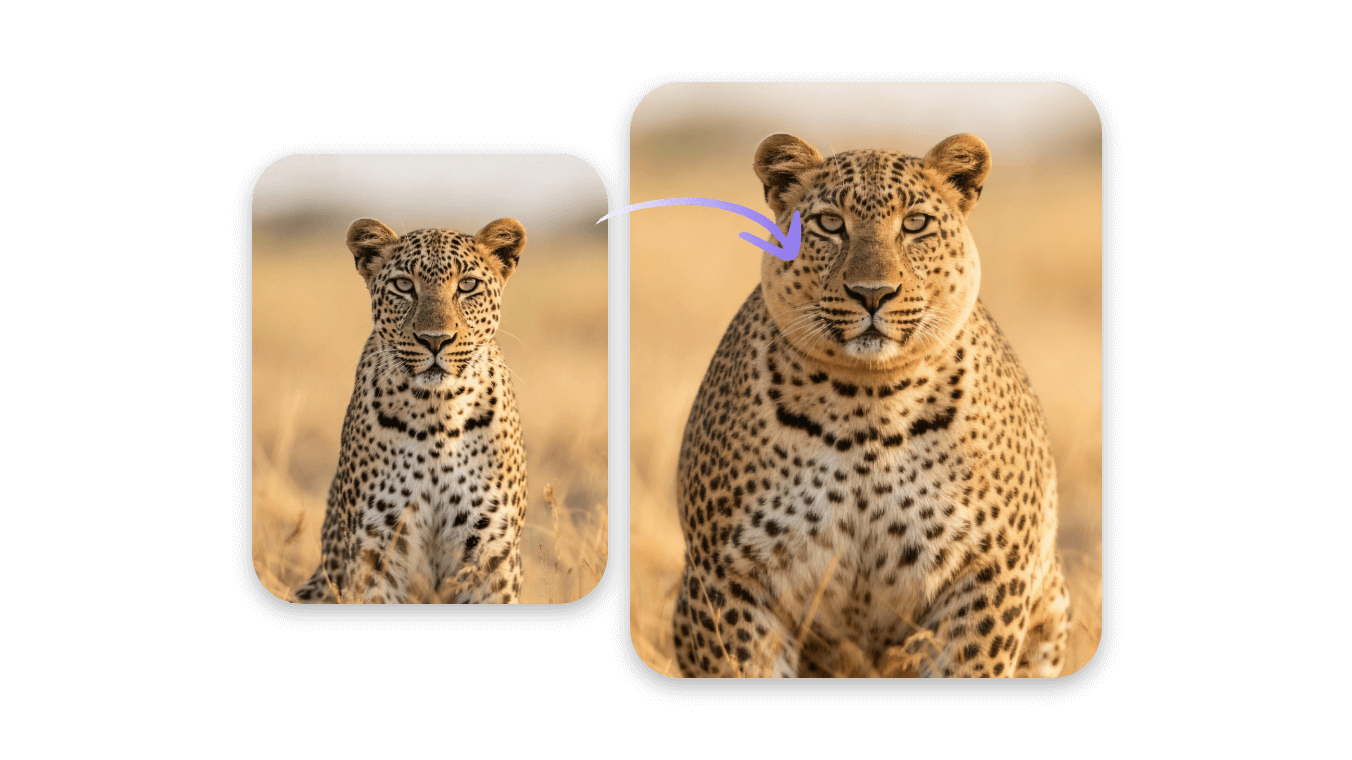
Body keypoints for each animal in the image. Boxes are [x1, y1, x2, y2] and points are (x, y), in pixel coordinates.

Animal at [293, 217, 528, 604]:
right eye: (404, 285)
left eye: (467, 285)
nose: (435, 339)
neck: (438, 414)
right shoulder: (375, 549)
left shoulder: (492, 554)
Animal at [672, 133, 1071, 675]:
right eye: (829, 224)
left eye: (916, 223)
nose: (873, 294)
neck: (869, 402)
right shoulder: (728, 576)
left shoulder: (989, 573)